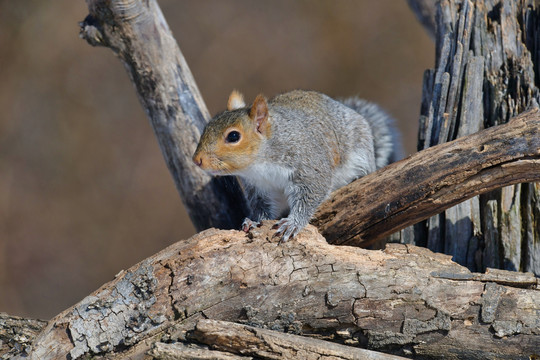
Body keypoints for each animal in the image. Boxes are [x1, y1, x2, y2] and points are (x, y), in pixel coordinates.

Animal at [193, 89, 400, 242]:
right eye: (206, 128)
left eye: (233, 136)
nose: (196, 160)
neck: (259, 166)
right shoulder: (260, 188)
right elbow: (263, 208)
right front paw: (255, 221)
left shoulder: (308, 166)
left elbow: (310, 195)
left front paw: (293, 223)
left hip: (361, 151)